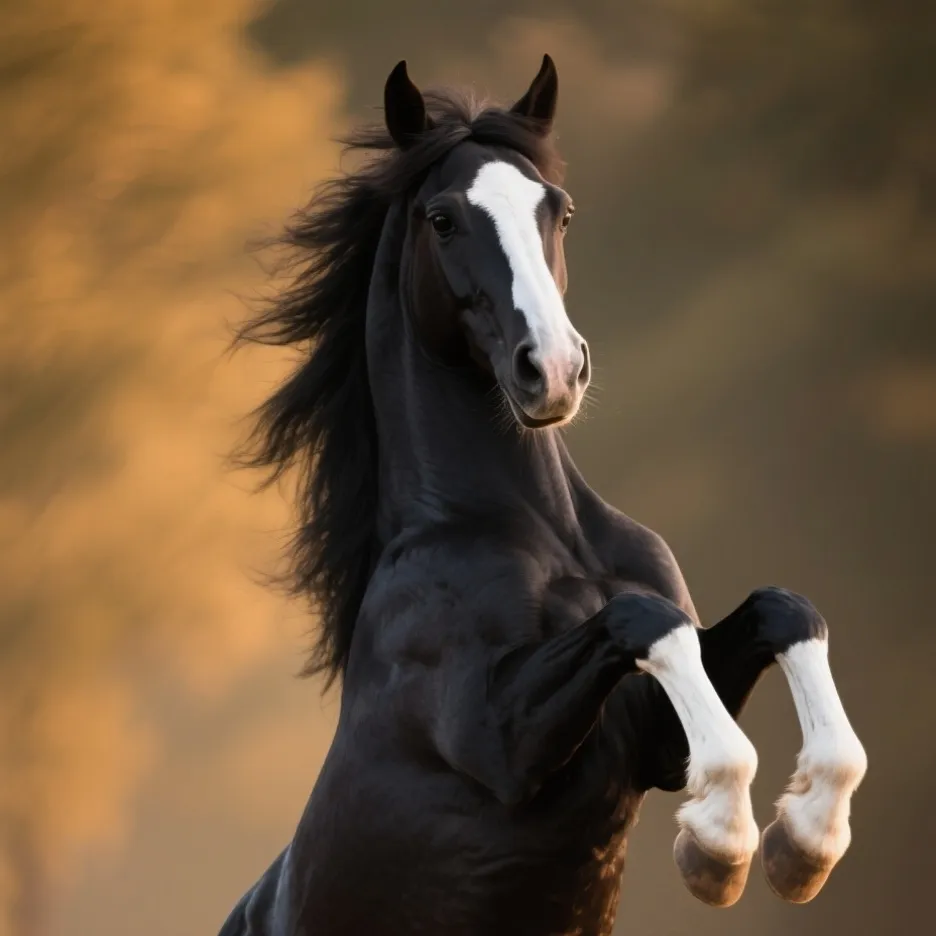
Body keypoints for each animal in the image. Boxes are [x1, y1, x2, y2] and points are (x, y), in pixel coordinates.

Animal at [219, 56, 867, 936]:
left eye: (557, 209)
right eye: (443, 219)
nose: (553, 369)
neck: (543, 531)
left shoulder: (653, 738)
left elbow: (784, 609)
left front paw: (803, 844)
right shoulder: (498, 741)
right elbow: (645, 623)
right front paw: (719, 847)